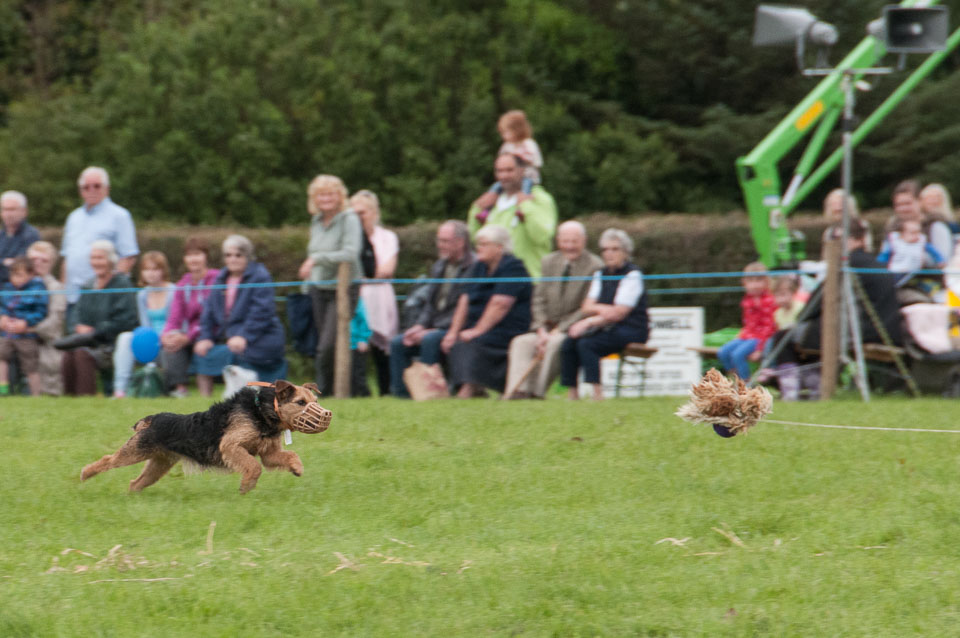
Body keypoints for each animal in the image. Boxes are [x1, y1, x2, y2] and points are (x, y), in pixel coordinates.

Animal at [79, 380, 334, 496]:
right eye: (300, 402)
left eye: (315, 401)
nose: (326, 415)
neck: (262, 411)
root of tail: (152, 419)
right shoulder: (231, 445)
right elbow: (253, 467)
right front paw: (246, 486)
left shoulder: (268, 452)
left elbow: (289, 455)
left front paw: (297, 469)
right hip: (134, 451)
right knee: (108, 460)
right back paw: (85, 474)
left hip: (159, 464)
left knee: (136, 482)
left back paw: (133, 498)